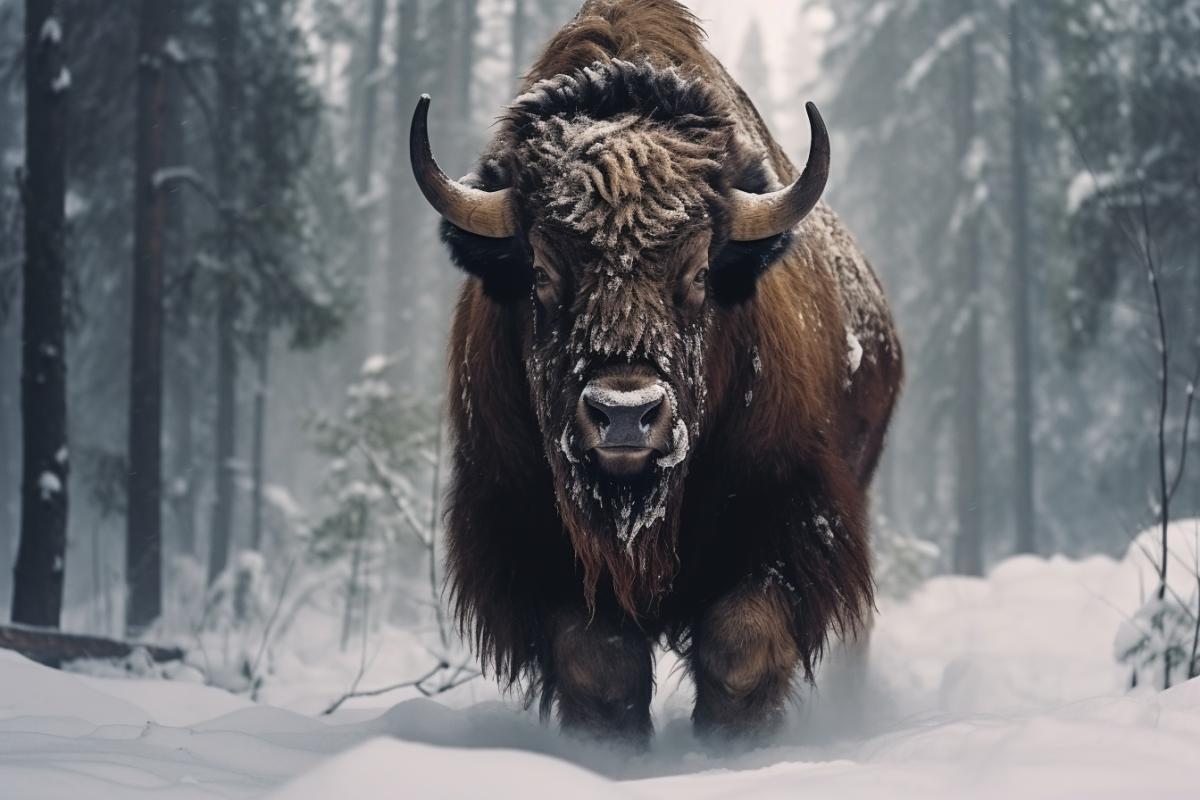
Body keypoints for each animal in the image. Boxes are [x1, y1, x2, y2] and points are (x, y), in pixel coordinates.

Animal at [410, 0, 902, 744]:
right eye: (541, 271)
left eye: (699, 271)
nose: (624, 415)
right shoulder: (529, 536)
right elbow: (600, 662)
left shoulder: (788, 512)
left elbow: (742, 642)